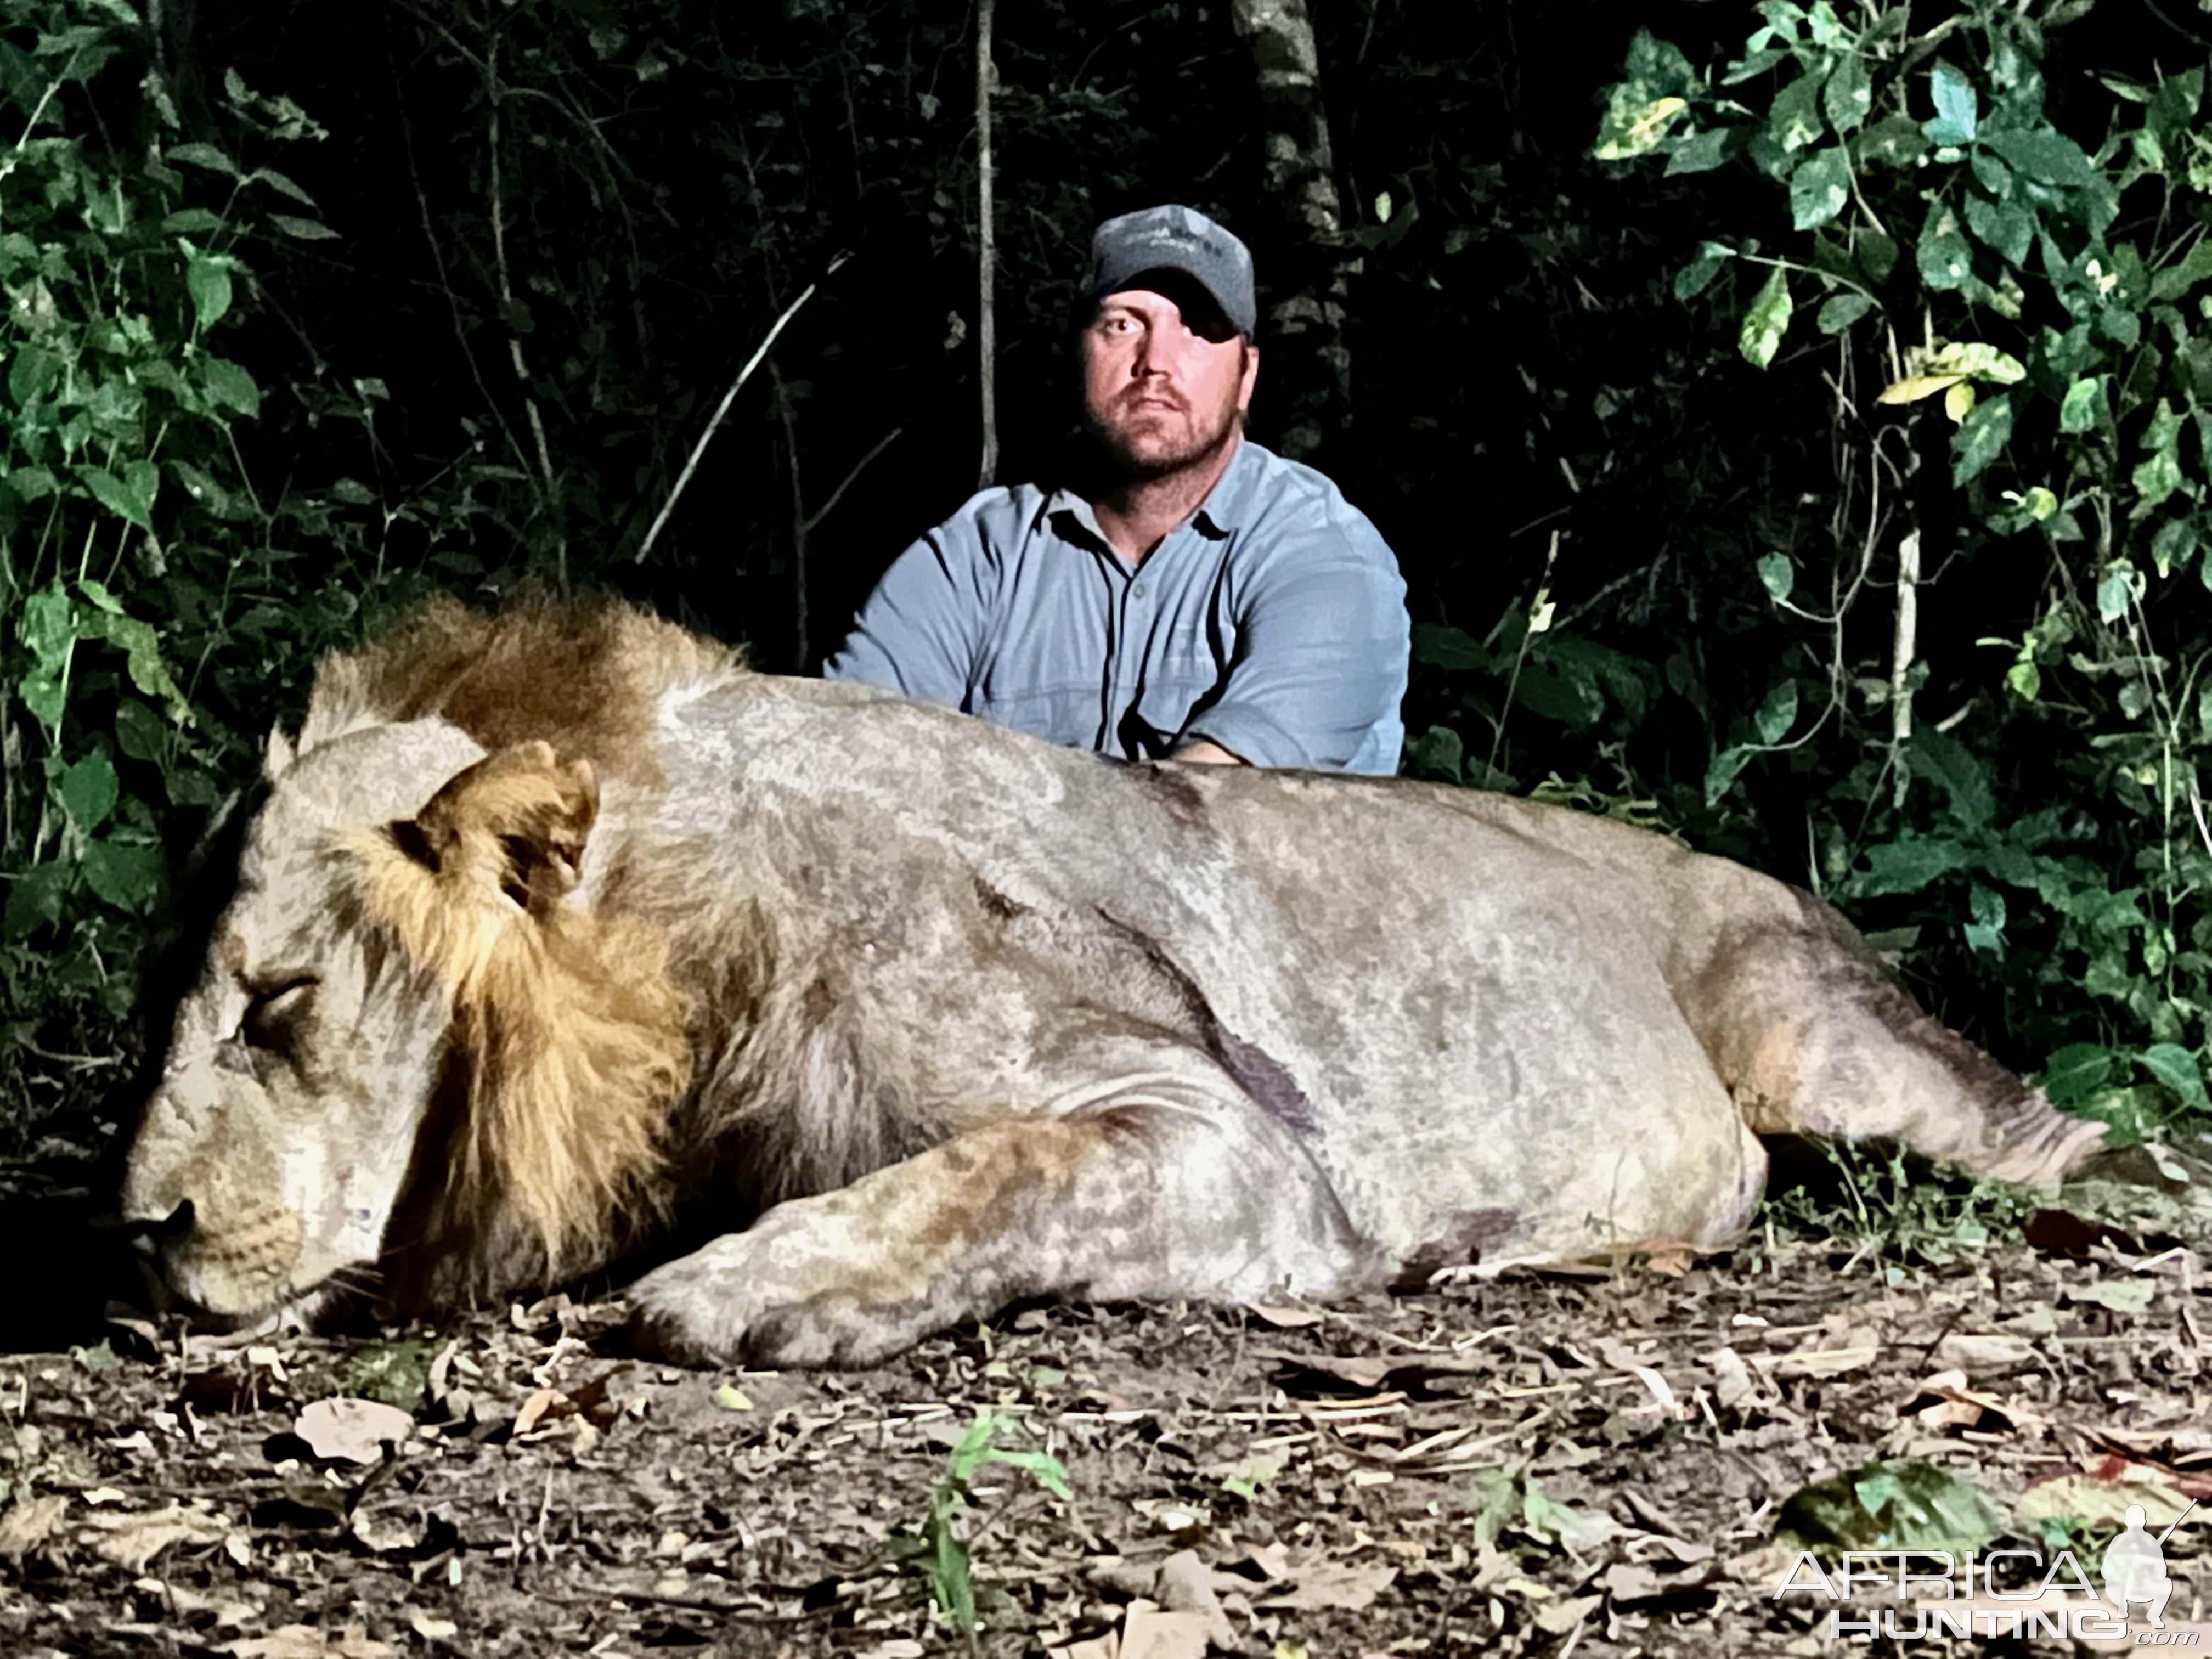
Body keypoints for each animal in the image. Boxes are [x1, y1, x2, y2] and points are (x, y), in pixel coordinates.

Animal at [125, 606, 2106, 1371]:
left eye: (276, 1002)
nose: (130, 1228)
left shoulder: (1240, 1140)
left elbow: (993, 1171)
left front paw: (751, 1287)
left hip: (1824, 1040)